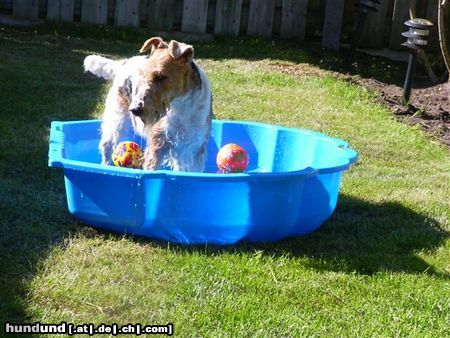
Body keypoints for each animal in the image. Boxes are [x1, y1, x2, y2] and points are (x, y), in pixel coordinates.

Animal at [83, 37, 213, 172]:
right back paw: (106, 165)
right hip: (116, 117)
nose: (135, 109)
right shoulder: (158, 142)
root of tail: (123, 63)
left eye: (160, 76)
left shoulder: (193, 147)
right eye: (143, 75)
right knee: (107, 145)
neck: (181, 105)